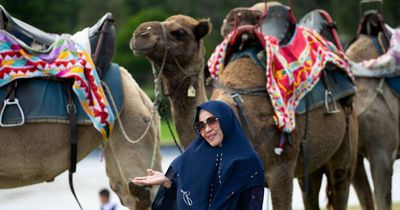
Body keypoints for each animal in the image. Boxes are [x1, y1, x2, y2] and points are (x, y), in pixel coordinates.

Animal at [131, 13, 360, 210]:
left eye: (179, 32)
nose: (139, 34)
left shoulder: (282, 170)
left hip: (344, 149)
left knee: (341, 183)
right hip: (311, 165)